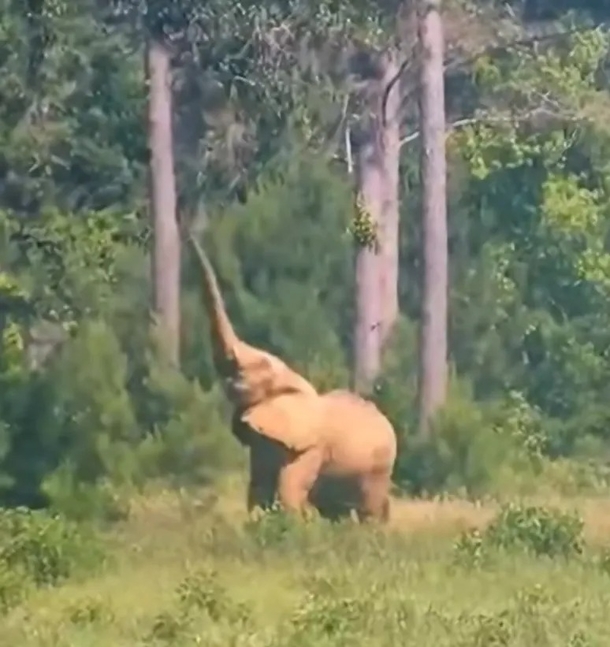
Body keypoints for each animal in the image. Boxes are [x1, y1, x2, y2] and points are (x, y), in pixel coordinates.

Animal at [188, 233, 397, 523]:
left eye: (260, 366)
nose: (187, 229)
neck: (293, 382)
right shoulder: (265, 442)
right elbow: (258, 490)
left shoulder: (310, 447)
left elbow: (288, 490)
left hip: (378, 468)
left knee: (370, 509)